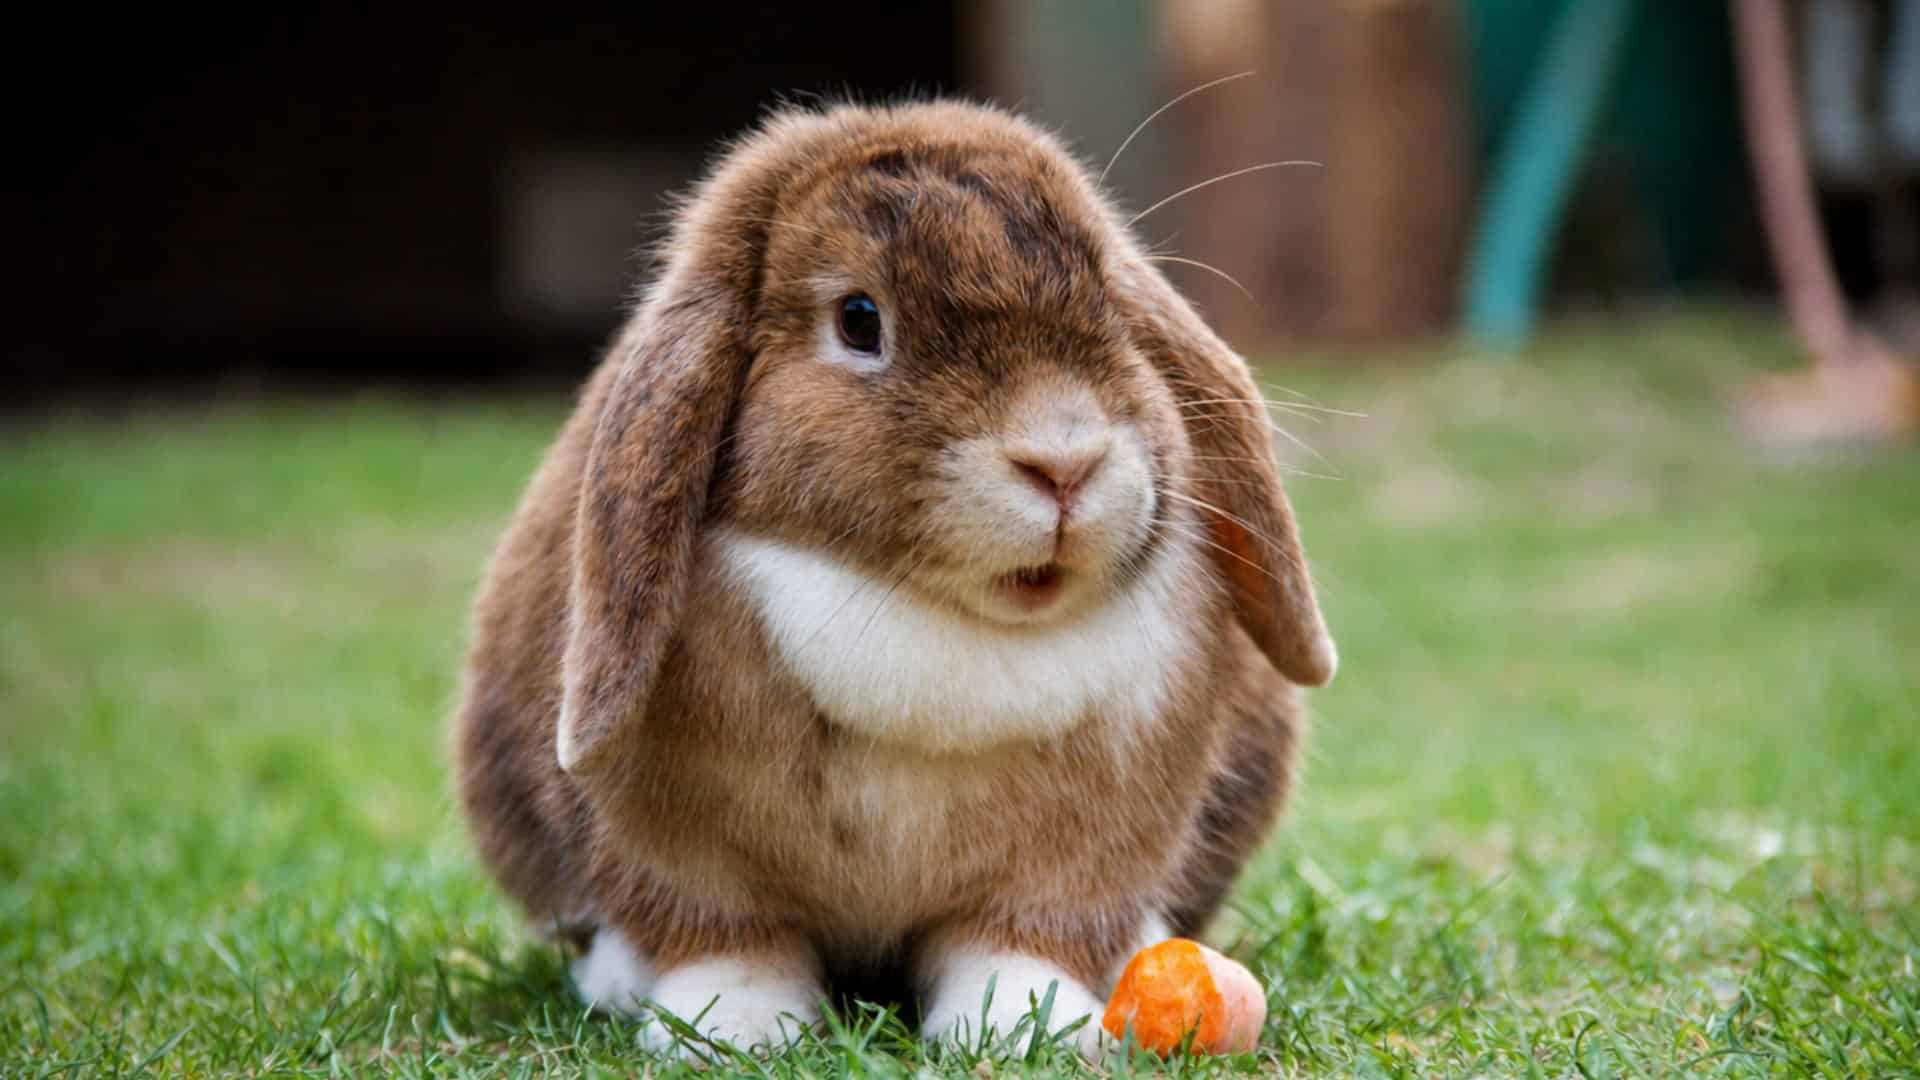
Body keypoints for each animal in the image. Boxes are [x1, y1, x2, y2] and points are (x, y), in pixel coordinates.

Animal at [451, 99, 1336, 1060]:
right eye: (858, 320)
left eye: (1108, 297)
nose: (1064, 461)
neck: (931, 615)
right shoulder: (676, 852)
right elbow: (726, 939)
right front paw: (732, 1030)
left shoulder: (1079, 857)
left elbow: (1021, 940)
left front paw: (1024, 1026)